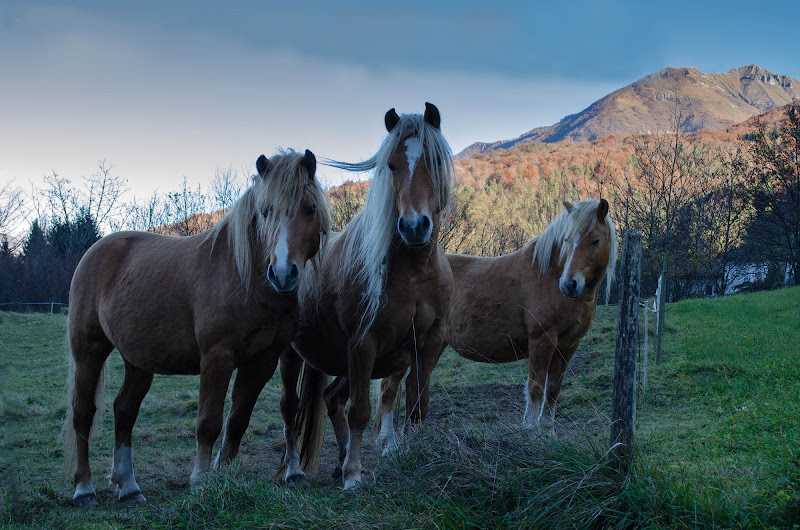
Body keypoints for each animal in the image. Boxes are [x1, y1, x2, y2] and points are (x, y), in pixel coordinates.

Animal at [61, 147, 332, 504]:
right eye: (265, 212)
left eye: (310, 209)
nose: (283, 273)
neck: (243, 277)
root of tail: (95, 252)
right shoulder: (217, 358)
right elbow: (209, 422)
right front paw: (202, 480)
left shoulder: (262, 361)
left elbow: (237, 421)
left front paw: (225, 478)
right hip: (88, 351)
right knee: (83, 413)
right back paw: (83, 488)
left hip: (138, 361)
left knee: (124, 411)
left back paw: (129, 486)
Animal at [280, 102, 456, 486]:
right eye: (391, 165)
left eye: (435, 161)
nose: (414, 227)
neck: (413, 272)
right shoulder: (364, 342)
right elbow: (360, 411)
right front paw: (354, 476)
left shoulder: (428, 342)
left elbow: (418, 405)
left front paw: (411, 456)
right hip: (292, 355)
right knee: (291, 407)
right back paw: (296, 470)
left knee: (331, 398)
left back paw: (340, 458)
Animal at [376, 196, 620, 444]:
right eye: (567, 240)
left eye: (595, 240)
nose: (569, 285)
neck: (548, 275)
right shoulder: (542, 339)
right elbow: (535, 387)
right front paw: (531, 431)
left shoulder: (568, 345)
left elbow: (553, 389)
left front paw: (548, 431)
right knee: (390, 387)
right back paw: (388, 441)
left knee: (416, 384)